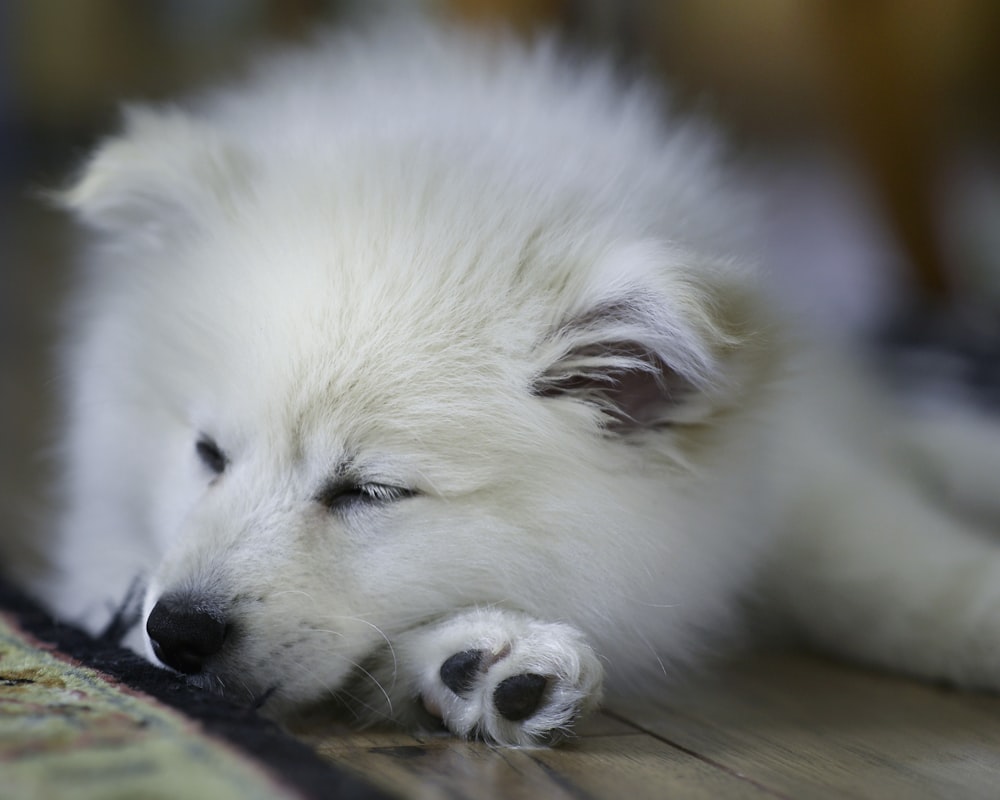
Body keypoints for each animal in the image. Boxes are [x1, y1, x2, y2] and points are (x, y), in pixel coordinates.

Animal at [35, 21, 1000, 744]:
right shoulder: (105, 553)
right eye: (208, 452)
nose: (177, 630)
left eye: (371, 491)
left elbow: (897, 569)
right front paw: (478, 664)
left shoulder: (787, 467)